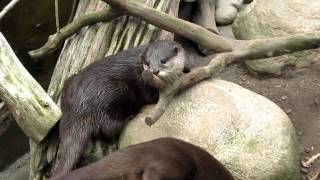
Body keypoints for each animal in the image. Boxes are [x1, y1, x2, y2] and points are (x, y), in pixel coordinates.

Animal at [53, 40, 186, 176]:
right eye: (148, 63)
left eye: (163, 60)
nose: (154, 71)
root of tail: (78, 107)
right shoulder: (142, 81)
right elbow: (150, 97)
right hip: (114, 92)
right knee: (108, 127)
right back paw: (129, 117)